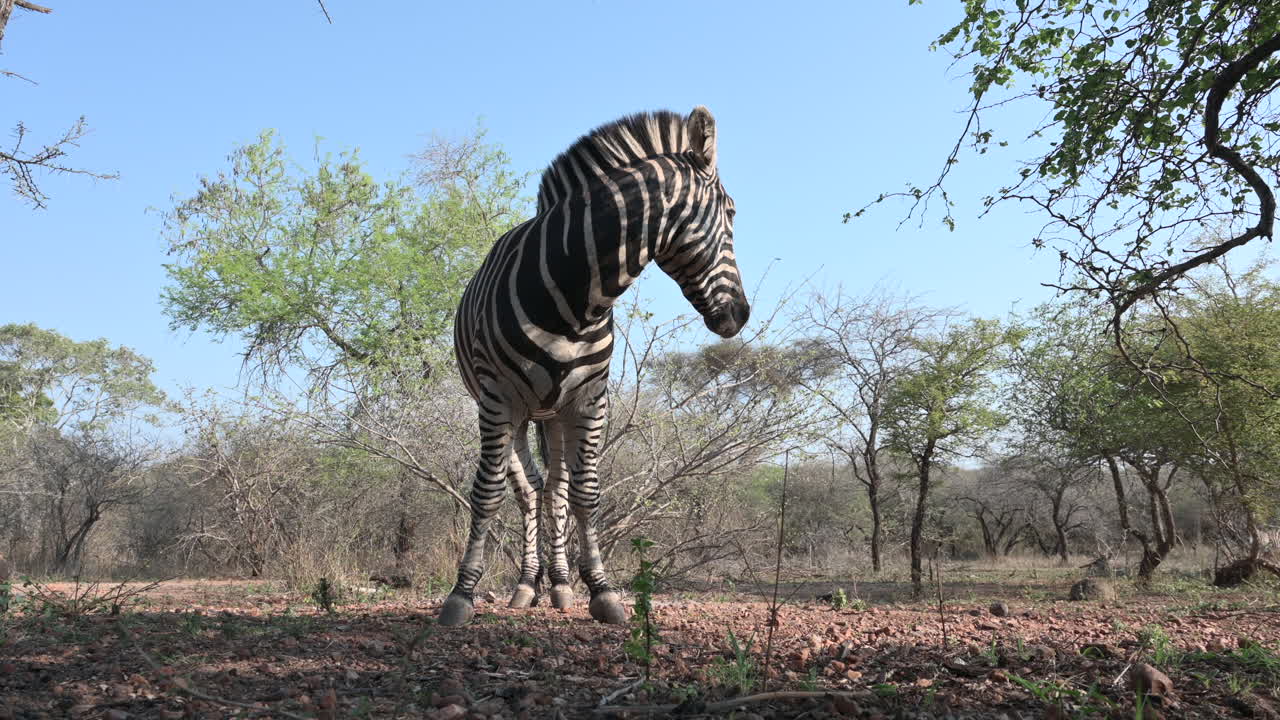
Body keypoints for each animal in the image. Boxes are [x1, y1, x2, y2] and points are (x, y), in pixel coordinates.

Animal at [439, 106, 749, 627]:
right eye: (730, 213)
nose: (741, 316)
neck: (573, 298)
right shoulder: (498, 397)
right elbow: (487, 492)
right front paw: (461, 594)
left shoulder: (589, 399)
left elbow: (585, 492)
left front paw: (600, 590)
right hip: (521, 412)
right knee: (529, 491)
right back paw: (527, 585)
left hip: (554, 414)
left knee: (555, 490)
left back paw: (558, 584)